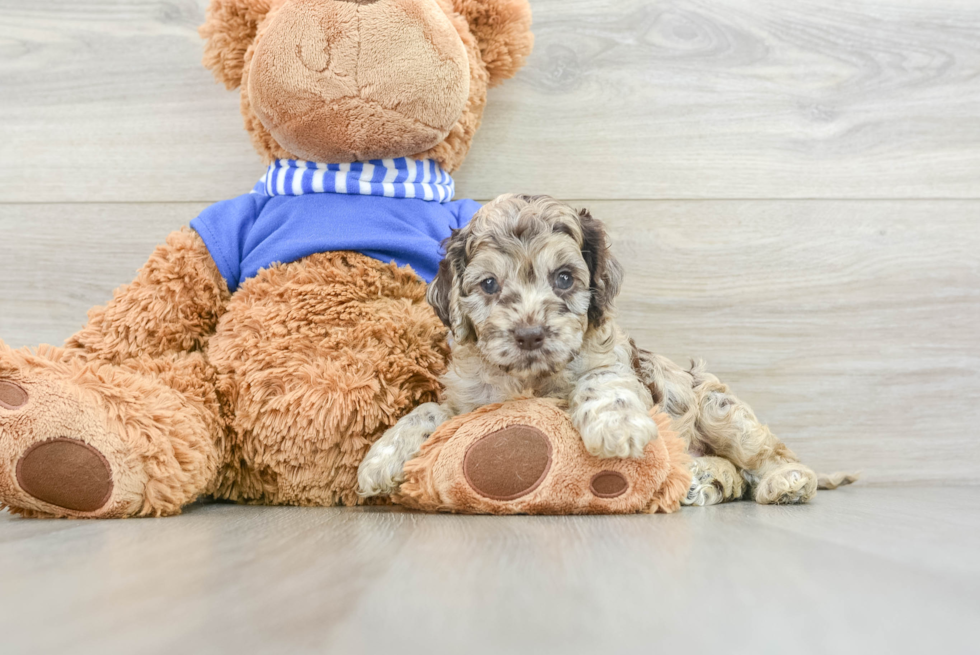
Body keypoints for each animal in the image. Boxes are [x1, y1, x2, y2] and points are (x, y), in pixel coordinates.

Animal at [356, 195, 848, 508]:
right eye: (490, 285)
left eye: (564, 278)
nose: (530, 334)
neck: (529, 377)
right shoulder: (468, 407)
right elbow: (428, 411)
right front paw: (380, 458)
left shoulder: (615, 363)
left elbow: (602, 379)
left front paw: (616, 426)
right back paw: (703, 482)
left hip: (718, 410)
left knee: (767, 457)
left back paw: (786, 482)